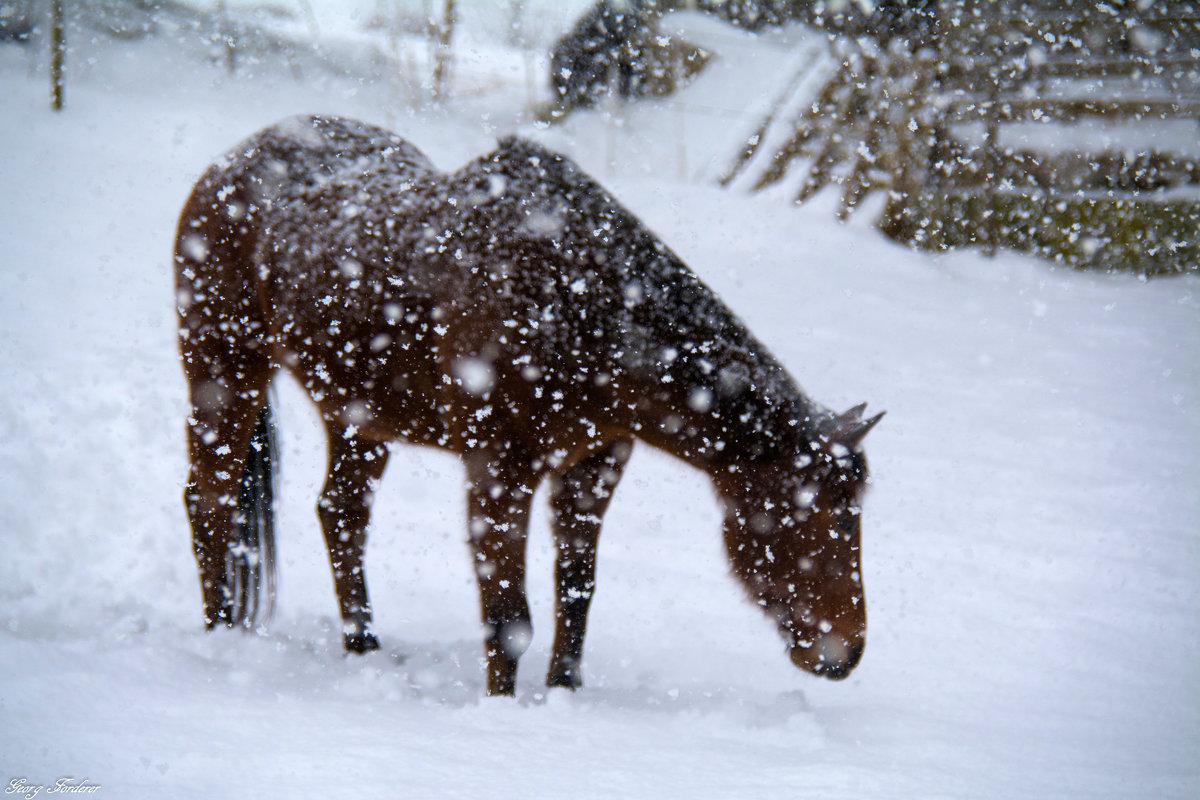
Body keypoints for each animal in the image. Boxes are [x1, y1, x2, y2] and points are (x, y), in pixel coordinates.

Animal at [177, 115, 888, 695]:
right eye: (816, 514)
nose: (847, 653)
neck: (572, 301)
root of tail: (237, 156)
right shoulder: (498, 468)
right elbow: (508, 617)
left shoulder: (594, 466)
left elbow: (576, 593)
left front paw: (564, 697)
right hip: (222, 372)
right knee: (211, 499)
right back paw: (219, 635)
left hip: (358, 415)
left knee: (341, 514)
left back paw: (363, 648)